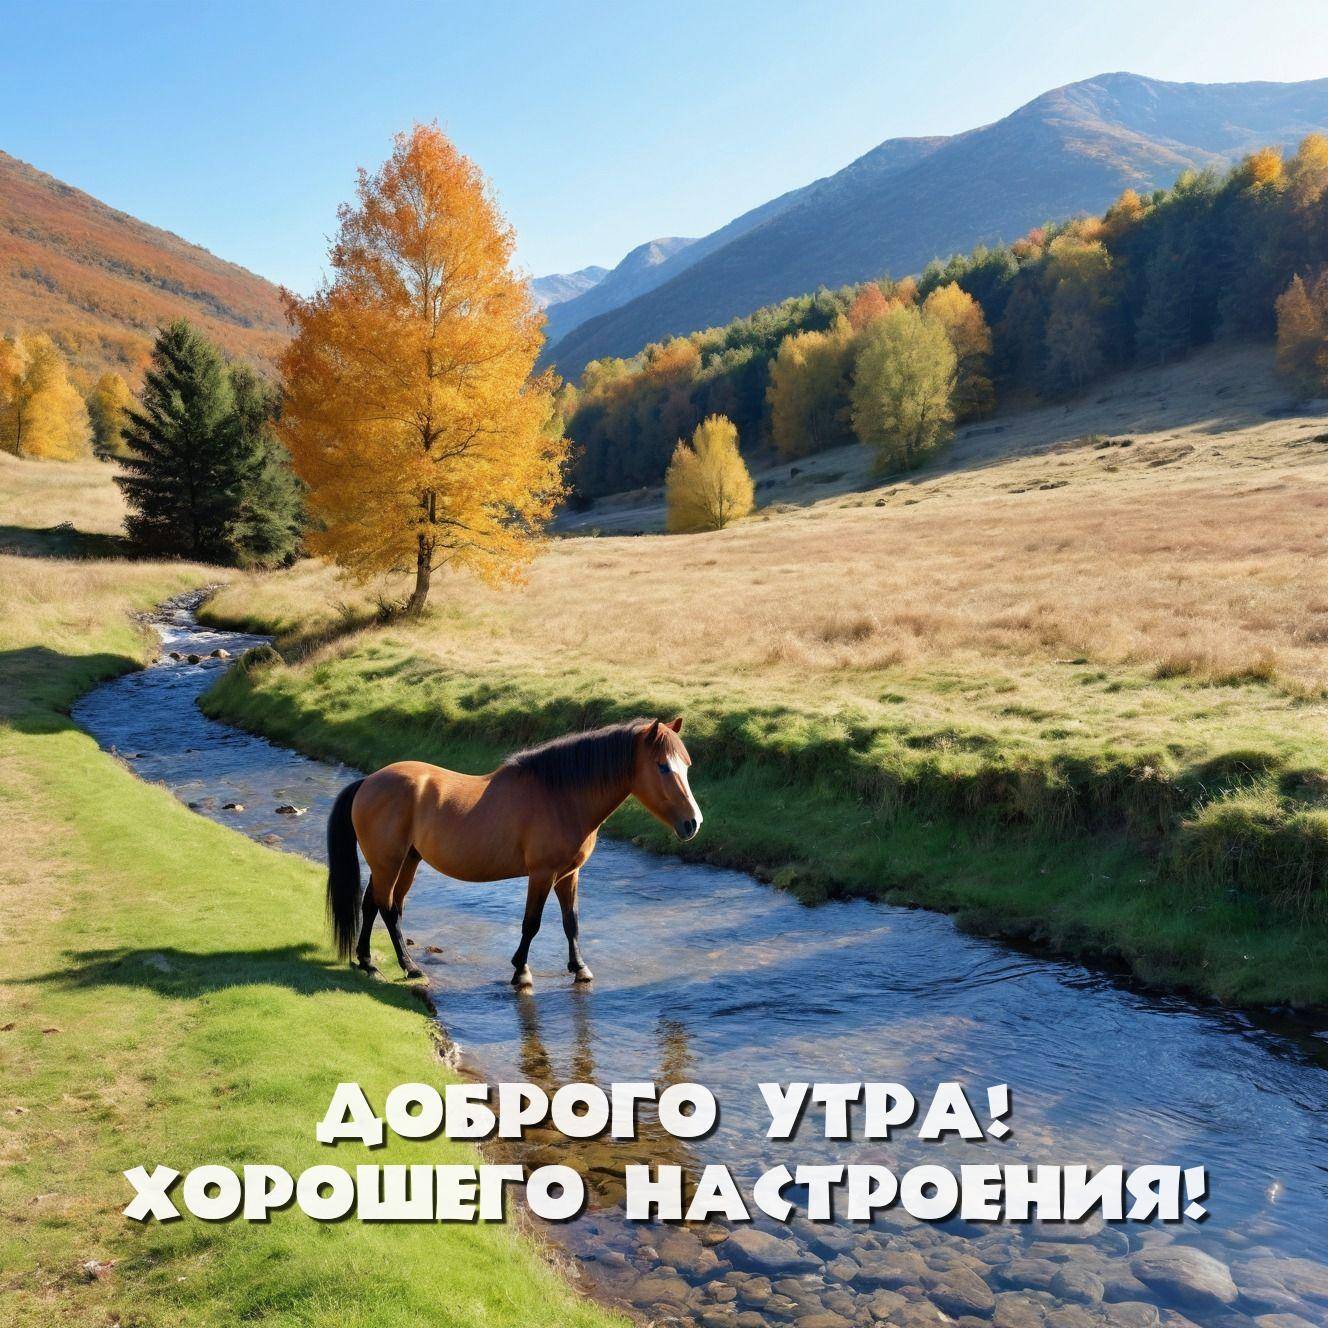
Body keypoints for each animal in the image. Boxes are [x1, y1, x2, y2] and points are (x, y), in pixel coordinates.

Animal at [324, 717, 701, 990]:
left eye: (686, 765)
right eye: (662, 766)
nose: (693, 823)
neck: (561, 797)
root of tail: (368, 781)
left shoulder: (569, 874)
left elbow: (571, 921)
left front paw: (579, 968)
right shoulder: (542, 873)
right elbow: (532, 923)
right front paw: (521, 972)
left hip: (404, 862)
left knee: (376, 904)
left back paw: (367, 962)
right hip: (389, 862)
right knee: (387, 907)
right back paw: (409, 966)